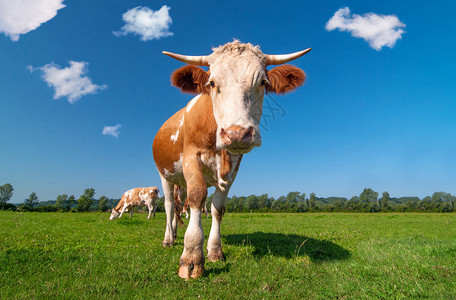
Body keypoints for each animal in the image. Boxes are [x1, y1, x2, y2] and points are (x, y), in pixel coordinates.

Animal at [153, 40, 310, 278]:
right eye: (211, 83)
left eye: (263, 82)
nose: (236, 133)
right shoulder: (191, 157)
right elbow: (197, 197)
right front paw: (191, 256)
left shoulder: (234, 167)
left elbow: (217, 208)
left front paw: (214, 251)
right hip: (165, 175)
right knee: (170, 205)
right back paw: (169, 239)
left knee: (181, 205)